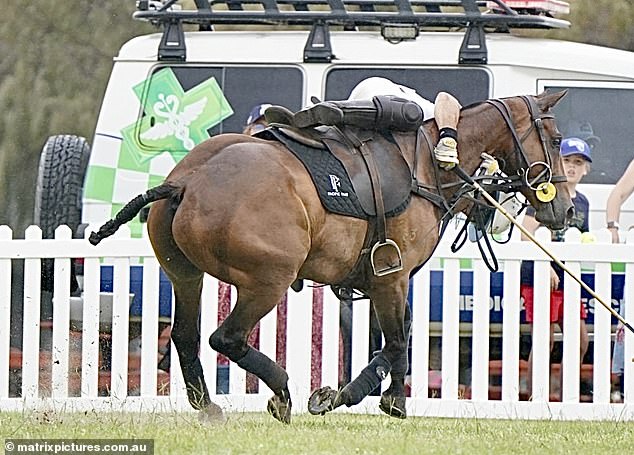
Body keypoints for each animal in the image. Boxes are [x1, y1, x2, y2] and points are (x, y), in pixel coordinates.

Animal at [91, 90, 572, 424]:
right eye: (556, 138)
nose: (565, 210)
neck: (429, 167)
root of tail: (186, 181)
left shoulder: (379, 281)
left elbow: (394, 340)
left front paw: (354, 396)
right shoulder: (392, 279)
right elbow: (396, 342)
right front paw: (381, 399)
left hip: (185, 276)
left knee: (186, 338)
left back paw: (209, 407)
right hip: (268, 279)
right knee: (225, 339)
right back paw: (282, 392)